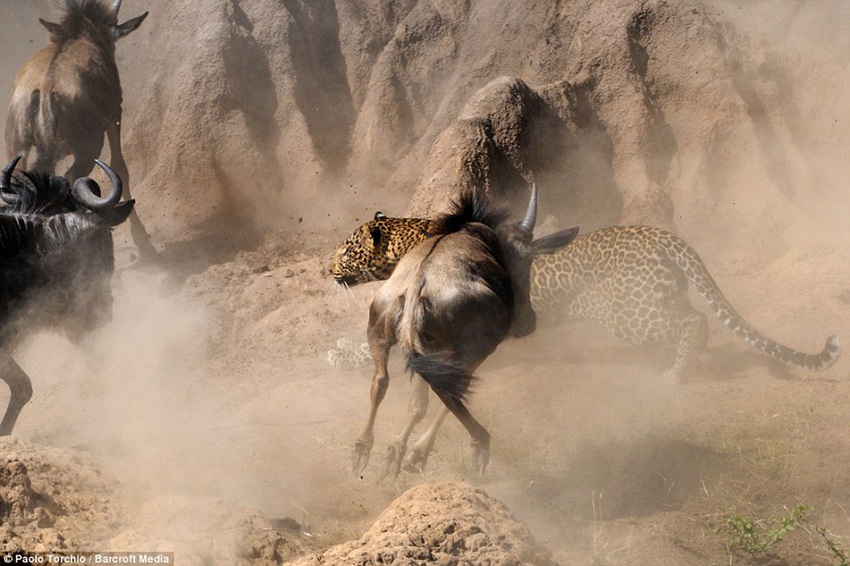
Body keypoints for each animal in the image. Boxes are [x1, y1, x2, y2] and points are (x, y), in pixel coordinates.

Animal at [330, 218, 840, 379]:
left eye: (347, 249)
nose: (327, 267)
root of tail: (659, 233)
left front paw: (337, 354)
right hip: (655, 300)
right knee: (696, 319)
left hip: (630, 315)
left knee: (694, 322)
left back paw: (674, 376)